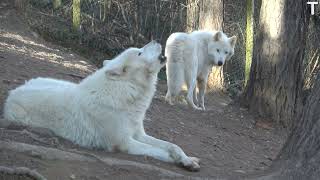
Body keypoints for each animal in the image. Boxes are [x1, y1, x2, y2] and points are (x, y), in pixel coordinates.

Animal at [3, 41, 200, 172]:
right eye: (139, 53)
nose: (155, 41)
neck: (127, 94)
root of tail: (14, 92)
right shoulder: (125, 142)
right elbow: (160, 151)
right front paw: (178, 161)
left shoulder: (139, 134)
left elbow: (172, 145)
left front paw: (188, 159)